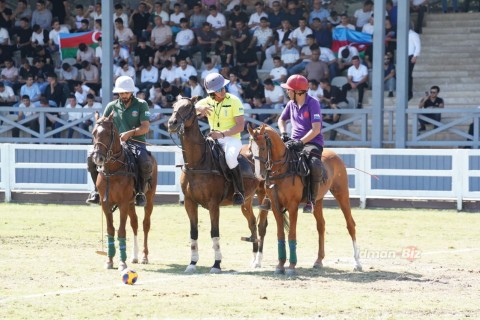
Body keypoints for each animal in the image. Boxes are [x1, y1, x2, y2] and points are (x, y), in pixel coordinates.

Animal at [90, 112, 158, 270]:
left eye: (108, 133)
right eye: (94, 133)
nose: (97, 158)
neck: (112, 170)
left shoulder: (123, 203)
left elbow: (121, 230)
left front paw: (122, 262)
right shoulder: (106, 203)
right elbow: (110, 230)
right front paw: (109, 260)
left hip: (149, 198)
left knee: (145, 224)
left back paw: (144, 256)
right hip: (131, 203)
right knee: (135, 223)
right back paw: (134, 256)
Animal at [167, 96, 268, 274]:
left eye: (188, 108)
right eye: (174, 106)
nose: (172, 123)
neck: (197, 163)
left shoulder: (213, 204)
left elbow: (214, 232)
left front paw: (216, 264)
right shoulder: (189, 203)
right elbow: (193, 232)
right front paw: (192, 263)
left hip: (263, 197)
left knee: (261, 225)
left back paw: (258, 261)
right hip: (246, 201)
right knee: (252, 223)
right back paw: (253, 258)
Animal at [248, 124, 360, 276]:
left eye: (263, 148)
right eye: (250, 148)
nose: (259, 175)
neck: (282, 168)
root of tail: (335, 155)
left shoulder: (292, 206)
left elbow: (291, 234)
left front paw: (291, 266)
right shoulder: (276, 206)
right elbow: (280, 234)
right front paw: (280, 265)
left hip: (341, 193)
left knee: (350, 225)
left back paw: (357, 263)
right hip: (317, 201)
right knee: (321, 225)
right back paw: (318, 260)